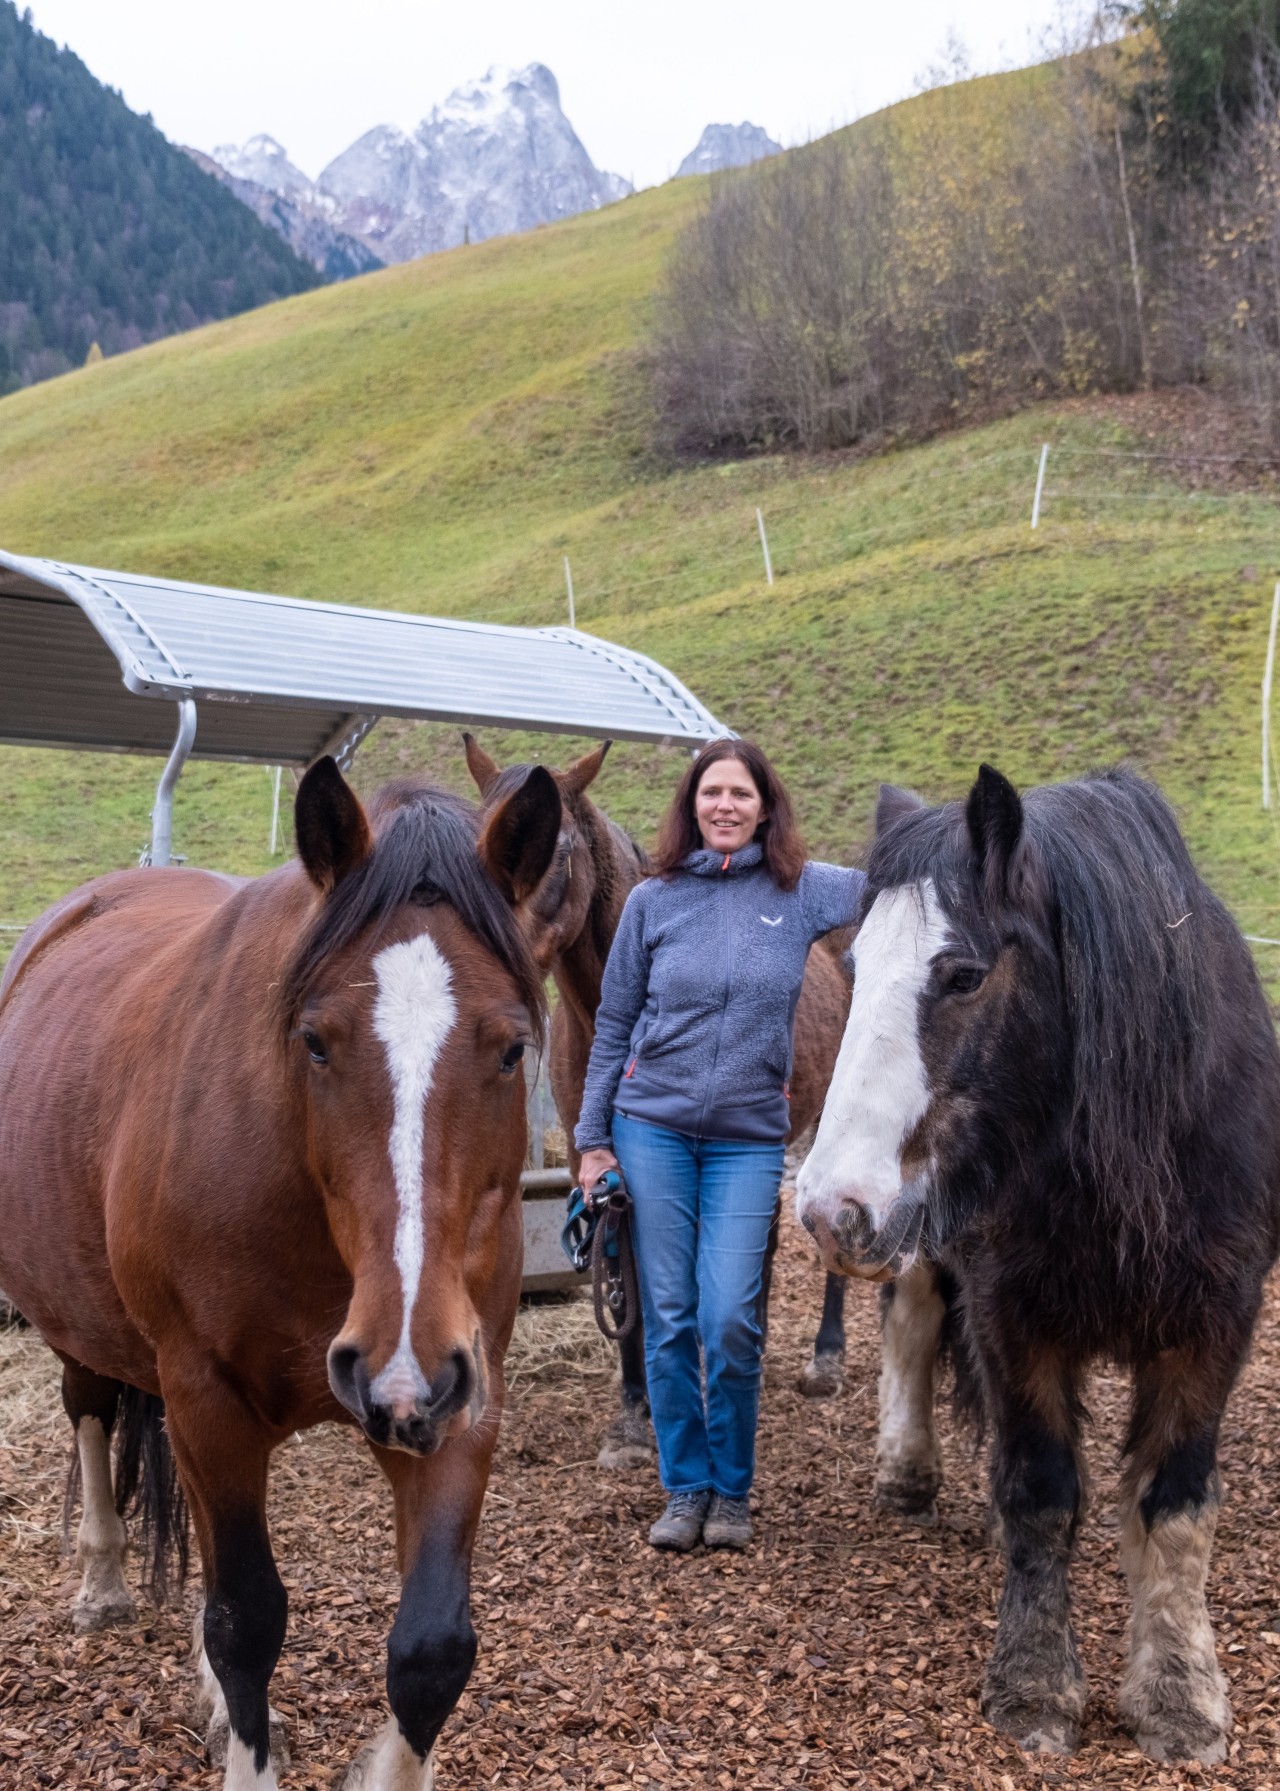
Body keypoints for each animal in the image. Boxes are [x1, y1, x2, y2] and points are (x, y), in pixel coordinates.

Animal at [0, 759, 565, 1791]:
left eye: (511, 1047)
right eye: (314, 1040)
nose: (398, 1362)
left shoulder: (461, 1396)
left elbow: (431, 1648)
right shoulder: (208, 1398)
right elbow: (247, 1620)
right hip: (84, 1331)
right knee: (91, 1413)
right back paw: (102, 1579)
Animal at [802, 766, 1280, 1762]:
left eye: (963, 974)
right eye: (854, 970)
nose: (830, 1210)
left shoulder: (1216, 1321)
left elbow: (1175, 1506)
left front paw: (1179, 1695)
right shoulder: (1011, 1313)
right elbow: (1039, 1490)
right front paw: (1034, 1686)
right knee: (909, 1325)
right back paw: (906, 1468)